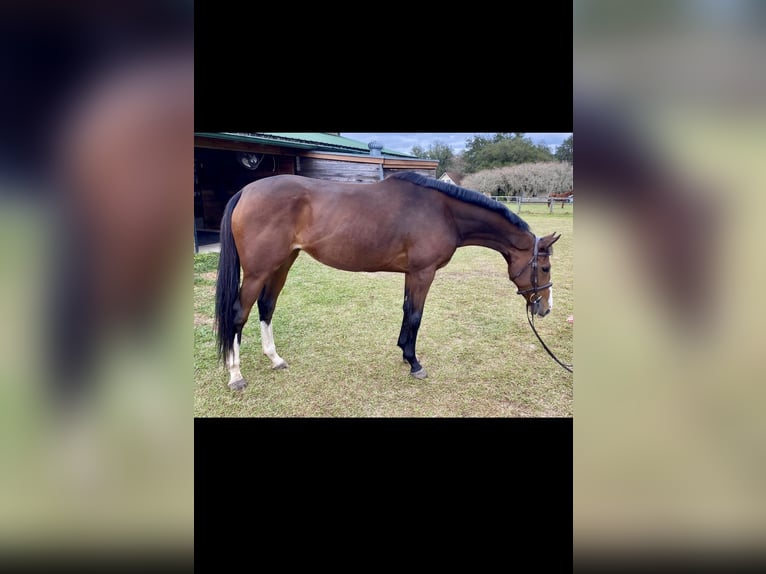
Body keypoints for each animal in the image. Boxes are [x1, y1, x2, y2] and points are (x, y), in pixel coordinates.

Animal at [216, 172, 564, 392]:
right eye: (545, 268)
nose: (546, 308)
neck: (445, 212)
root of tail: (246, 191)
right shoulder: (423, 273)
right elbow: (416, 315)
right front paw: (414, 363)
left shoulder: (412, 274)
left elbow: (407, 312)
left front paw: (404, 354)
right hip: (259, 271)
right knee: (237, 315)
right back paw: (235, 375)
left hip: (282, 263)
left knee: (266, 306)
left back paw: (275, 359)